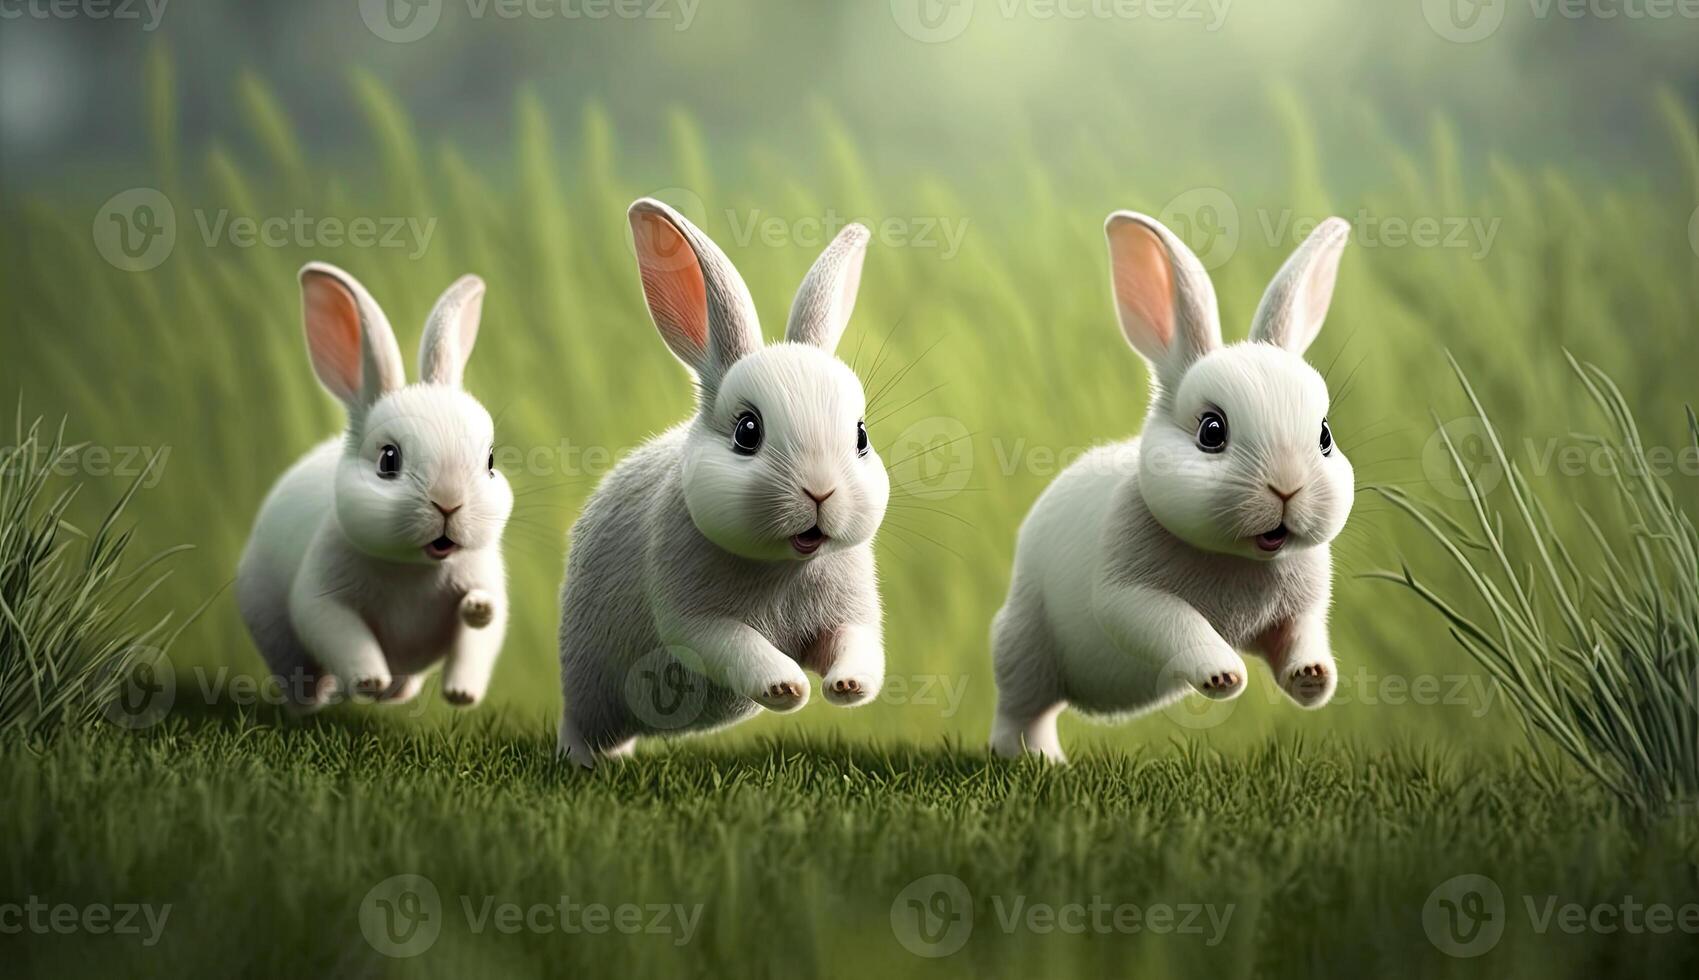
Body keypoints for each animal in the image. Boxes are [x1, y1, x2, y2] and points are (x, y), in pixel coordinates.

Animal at [235, 262, 512, 711]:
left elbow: (477, 641)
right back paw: (319, 699)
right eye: (388, 460)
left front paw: (462, 691)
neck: (414, 569)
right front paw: (368, 680)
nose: (448, 502)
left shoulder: (484, 583)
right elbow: (344, 635)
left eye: (489, 462)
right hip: (270, 625)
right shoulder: (323, 598)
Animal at [555, 198, 889, 768]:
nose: (820, 492)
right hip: (588, 688)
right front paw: (787, 688)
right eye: (747, 431)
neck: (782, 566)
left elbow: (857, 644)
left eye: (861, 436)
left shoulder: (851, 611)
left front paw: (847, 687)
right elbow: (735, 644)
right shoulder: (695, 619)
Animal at [989, 212, 1354, 762]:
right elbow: (1175, 623)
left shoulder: (1301, 610)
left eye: (1325, 436)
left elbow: (1302, 636)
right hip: (1025, 646)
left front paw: (1312, 678)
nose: (1287, 488)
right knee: (1022, 713)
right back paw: (1041, 760)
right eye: (1211, 431)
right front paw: (1223, 676)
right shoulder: (1129, 596)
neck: (1239, 559)